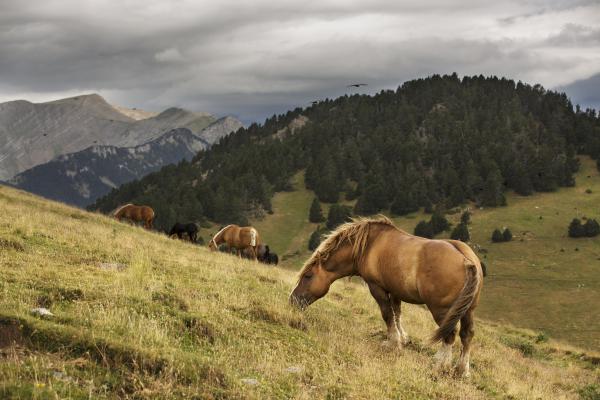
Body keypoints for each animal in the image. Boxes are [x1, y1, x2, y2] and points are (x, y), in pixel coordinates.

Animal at [290, 217, 482, 376]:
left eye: (308, 276)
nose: (293, 299)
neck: (368, 245)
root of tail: (466, 260)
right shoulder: (395, 290)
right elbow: (397, 314)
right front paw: (402, 338)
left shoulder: (377, 287)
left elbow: (387, 314)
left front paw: (393, 342)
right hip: (468, 310)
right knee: (467, 334)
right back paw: (462, 370)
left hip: (441, 310)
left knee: (450, 334)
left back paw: (440, 365)